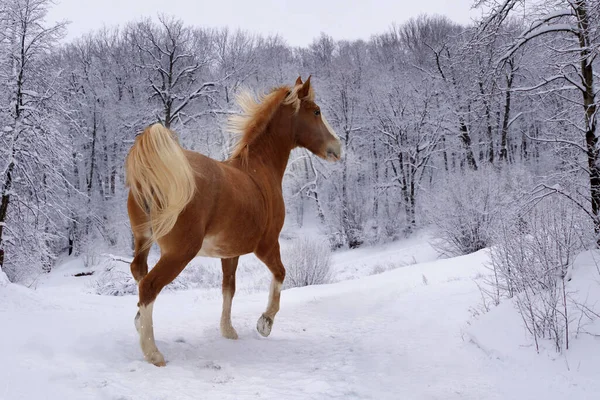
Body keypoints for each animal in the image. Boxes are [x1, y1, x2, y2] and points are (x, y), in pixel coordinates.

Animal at [125, 75, 342, 366]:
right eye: (316, 111)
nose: (338, 147)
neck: (259, 170)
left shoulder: (230, 253)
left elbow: (229, 288)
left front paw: (228, 331)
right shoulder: (268, 245)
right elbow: (281, 274)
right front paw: (265, 323)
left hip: (143, 241)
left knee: (139, 274)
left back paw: (140, 324)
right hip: (179, 253)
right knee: (149, 286)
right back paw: (153, 353)